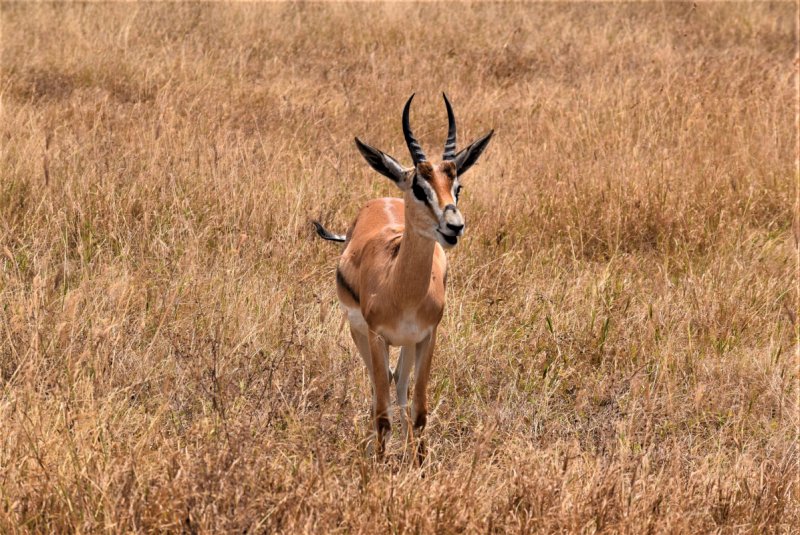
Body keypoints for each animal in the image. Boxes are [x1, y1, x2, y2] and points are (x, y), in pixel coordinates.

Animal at [313, 93, 493, 458]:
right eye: (419, 188)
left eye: (457, 187)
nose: (455, 226)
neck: (400, 288)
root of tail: (381, 199)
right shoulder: (375, 336)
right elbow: (381, 412)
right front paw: (379, 463)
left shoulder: (426, 336)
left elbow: (419, 410)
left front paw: (419, 463)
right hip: (359, 333)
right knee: (378, 388)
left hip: (406, 344)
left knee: (399, 386)